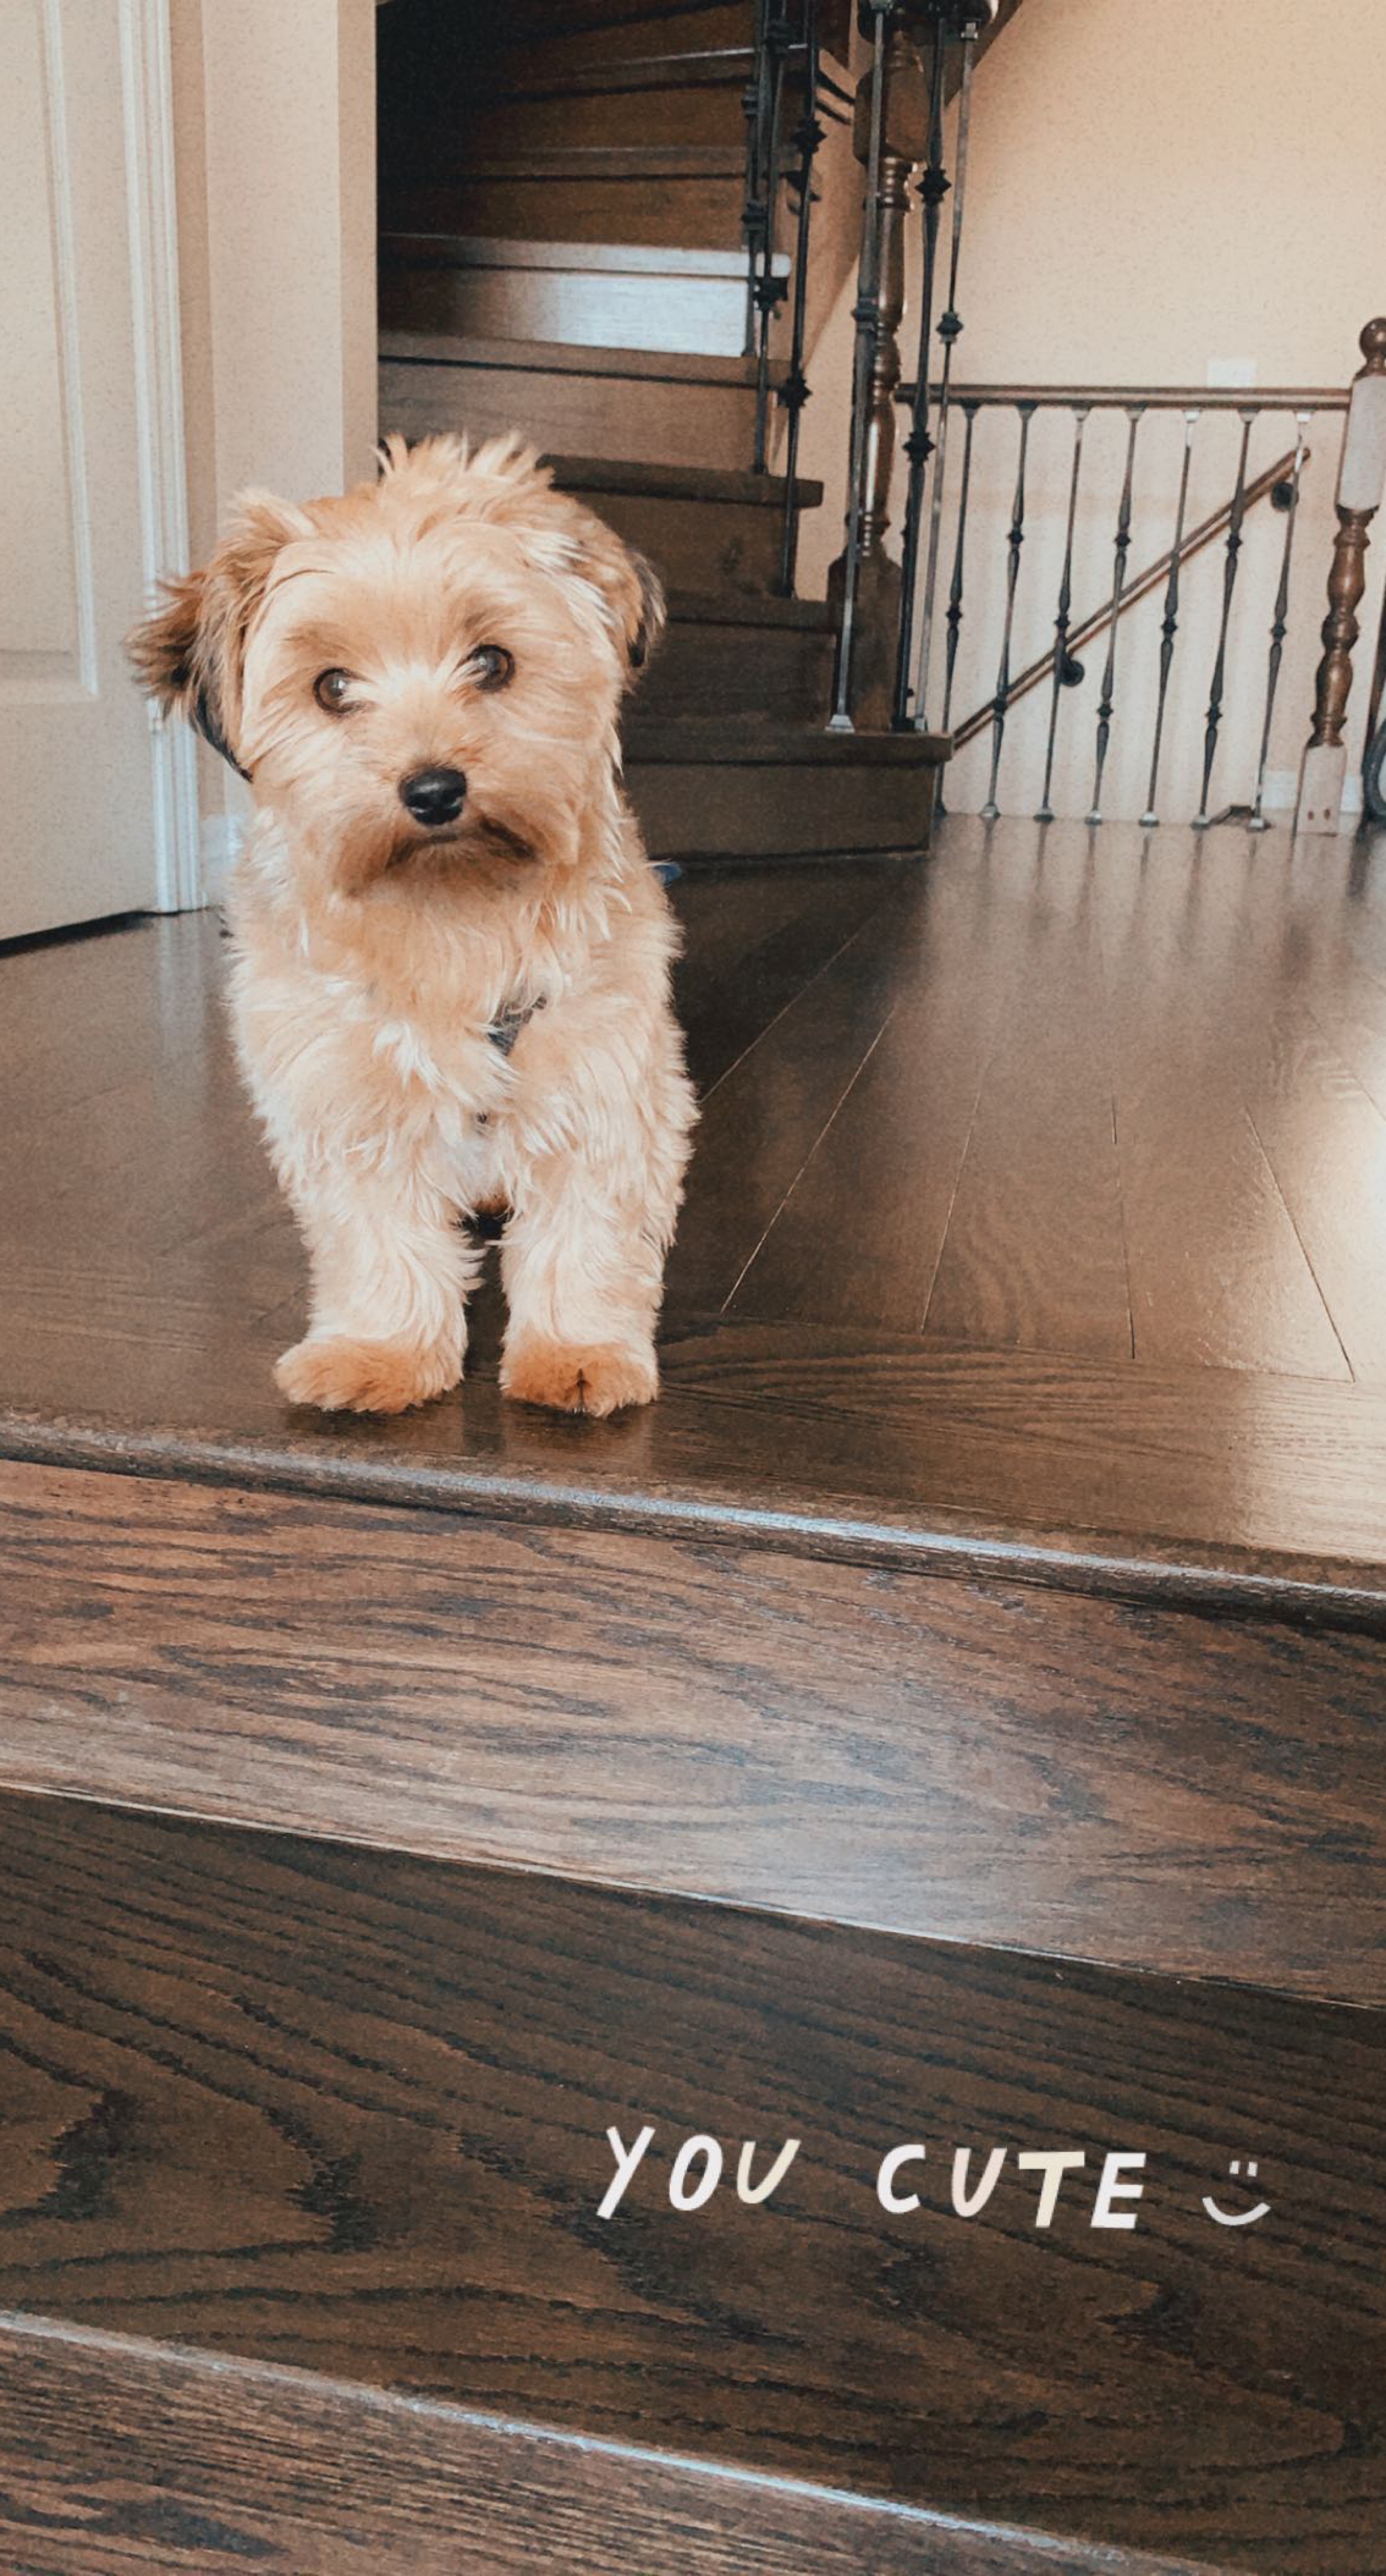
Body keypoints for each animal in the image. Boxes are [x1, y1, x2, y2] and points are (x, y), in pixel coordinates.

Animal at [128, 432, 696, 1418]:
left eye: (493, 662)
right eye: (332, 687)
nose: (433, 790)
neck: (450, 913)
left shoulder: (600, 1084)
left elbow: (586, 1233)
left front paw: (578, 1351)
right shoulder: (348, 1098)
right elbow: (378, 1239)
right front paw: (380, 1352)